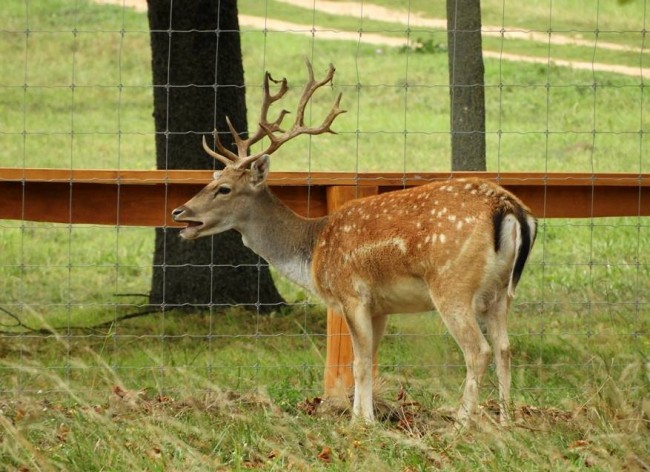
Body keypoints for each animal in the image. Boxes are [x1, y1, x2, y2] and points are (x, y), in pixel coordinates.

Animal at [170, 60, 536, 428]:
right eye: (213, 180)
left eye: (224, 188)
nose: (179, 211)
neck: (312, 249)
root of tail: (509, 208)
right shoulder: (381, 306)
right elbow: (369, 360)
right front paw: (363, 415)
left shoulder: (351, 293)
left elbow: (358, 363)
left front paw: (361, 423)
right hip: (499, 292)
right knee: (505, 347)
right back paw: (506, 421)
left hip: (452, 284)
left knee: (479, 350)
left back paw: (460, 424)